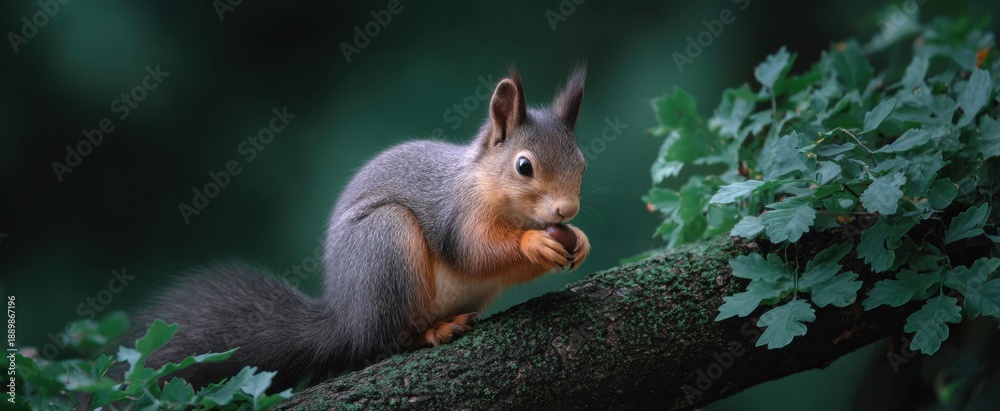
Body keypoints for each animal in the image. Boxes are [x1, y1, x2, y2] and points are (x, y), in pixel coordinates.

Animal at [132, 66, 591, 391]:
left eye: (582, 162)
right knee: (384, 343)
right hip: (386, 243)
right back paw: (433, 331)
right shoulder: (457, 214)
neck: (486, 184)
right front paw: (533, 243)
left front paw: (579, 241)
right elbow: (475, 252)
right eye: (524, 166)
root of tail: (347, 319)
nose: (567, 209)